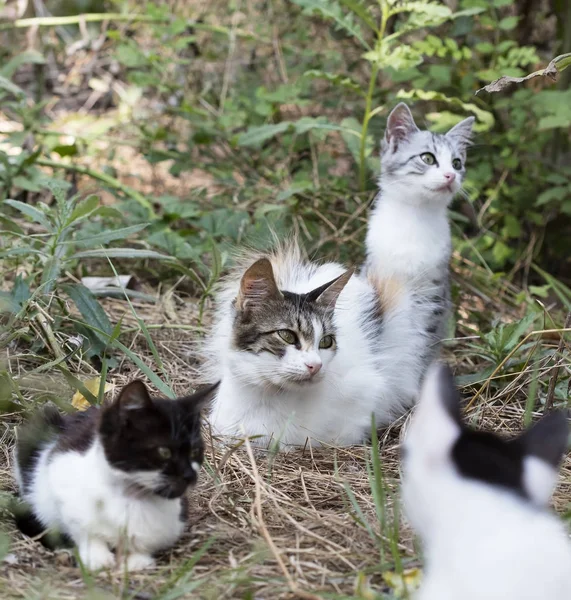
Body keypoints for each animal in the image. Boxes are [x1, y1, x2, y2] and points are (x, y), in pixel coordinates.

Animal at [13, 380, 219, 572]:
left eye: (195, 451)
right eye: (164, 452)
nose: (189, 475)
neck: (131, 497)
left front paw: (136, 561)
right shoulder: (60, 472)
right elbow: (84, 529)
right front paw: (96, 558)